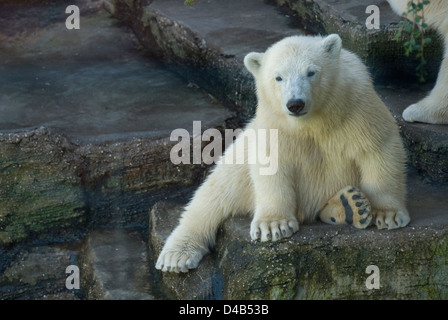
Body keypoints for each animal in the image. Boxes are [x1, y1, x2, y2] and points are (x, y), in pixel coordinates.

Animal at [156, 34, 412, 272]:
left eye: (311, 72)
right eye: (278, 77)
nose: (295, 103)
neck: (315, 119)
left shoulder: (356, 108)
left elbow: (377, 149)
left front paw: (387, 215)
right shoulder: (274, 123)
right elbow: (271, 163)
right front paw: (273, 226)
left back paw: (349, 205)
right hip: (241, 151)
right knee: (214, 194)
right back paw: (176, 256)